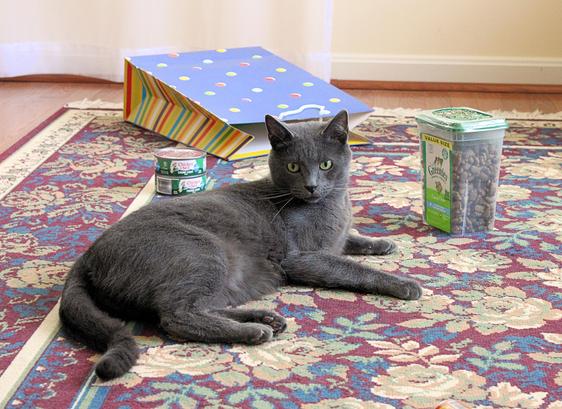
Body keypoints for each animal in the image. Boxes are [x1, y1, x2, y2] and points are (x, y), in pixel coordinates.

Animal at [61, 109, 420, 380]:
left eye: (326, 165)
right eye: (293, 167)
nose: (312, 186)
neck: (333, 205)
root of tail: (87, 256)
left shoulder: (336, 238)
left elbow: (350, 242)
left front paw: (382, 244)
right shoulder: (303, 258)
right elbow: (352, 268)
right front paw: (405, 283)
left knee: (198, 305)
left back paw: (265, 319)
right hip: (205, 251)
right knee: (177, 315)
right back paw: (253, 332)